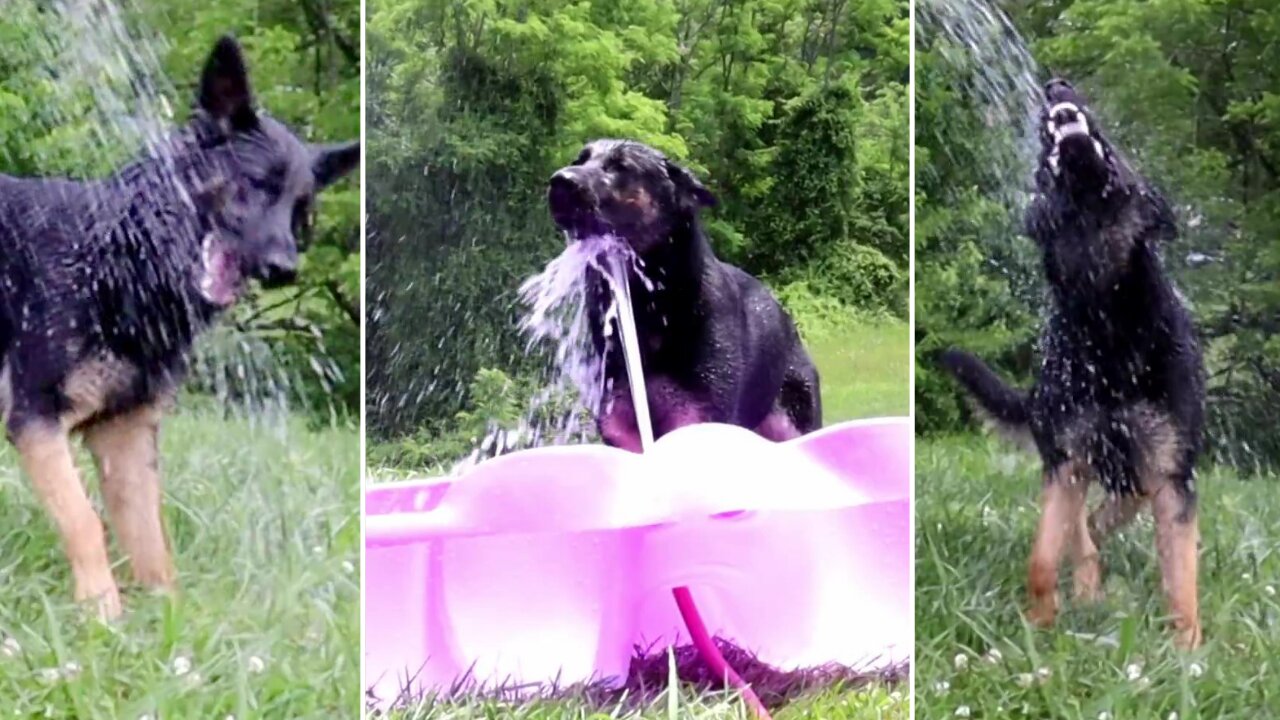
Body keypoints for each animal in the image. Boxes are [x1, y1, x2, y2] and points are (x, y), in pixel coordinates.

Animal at [1, 35, 360, 617]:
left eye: (300, 213)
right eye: (257, 185)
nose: (284, 269)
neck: (112, 262)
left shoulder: (125, 432)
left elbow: (151, 539)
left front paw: (171, 619)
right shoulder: (36, 418)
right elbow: (85, 521)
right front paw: (102, 613)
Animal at [542, 140, 819, 448]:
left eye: (621, 167)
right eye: (579, 160)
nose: (560, 181)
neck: (651, 304)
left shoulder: (696, 417)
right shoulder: (622, 427)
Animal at [942, 79, 1198, 650]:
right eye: (1043, 159)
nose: (1056, 83)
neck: (1109, 320)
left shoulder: (1171, 474)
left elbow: (1181, 579)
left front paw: (1189, 651)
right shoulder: (1064, 463)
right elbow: (1042, 557)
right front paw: (1040, 624)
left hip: (1134, 472)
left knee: (1107, 519)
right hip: (1075, 458)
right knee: (1085, 534)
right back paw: (1088, 591)